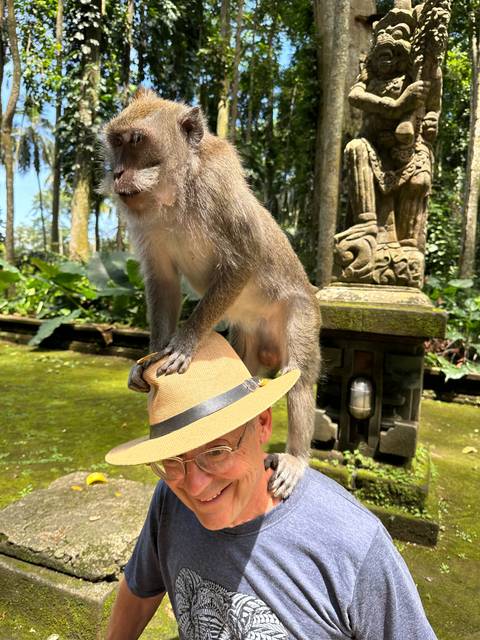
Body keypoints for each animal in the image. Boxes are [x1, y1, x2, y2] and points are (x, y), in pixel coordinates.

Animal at [101, 88, 321, 499]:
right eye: (116, 143)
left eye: (136, 140)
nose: (117, 173)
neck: (175, 194)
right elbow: (163, 282)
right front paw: (148, 357)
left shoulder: (218, 186)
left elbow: (245, 257)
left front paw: (184, 343)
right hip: (248, 339)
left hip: (301, 314)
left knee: (297, 375)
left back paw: (296, 458)